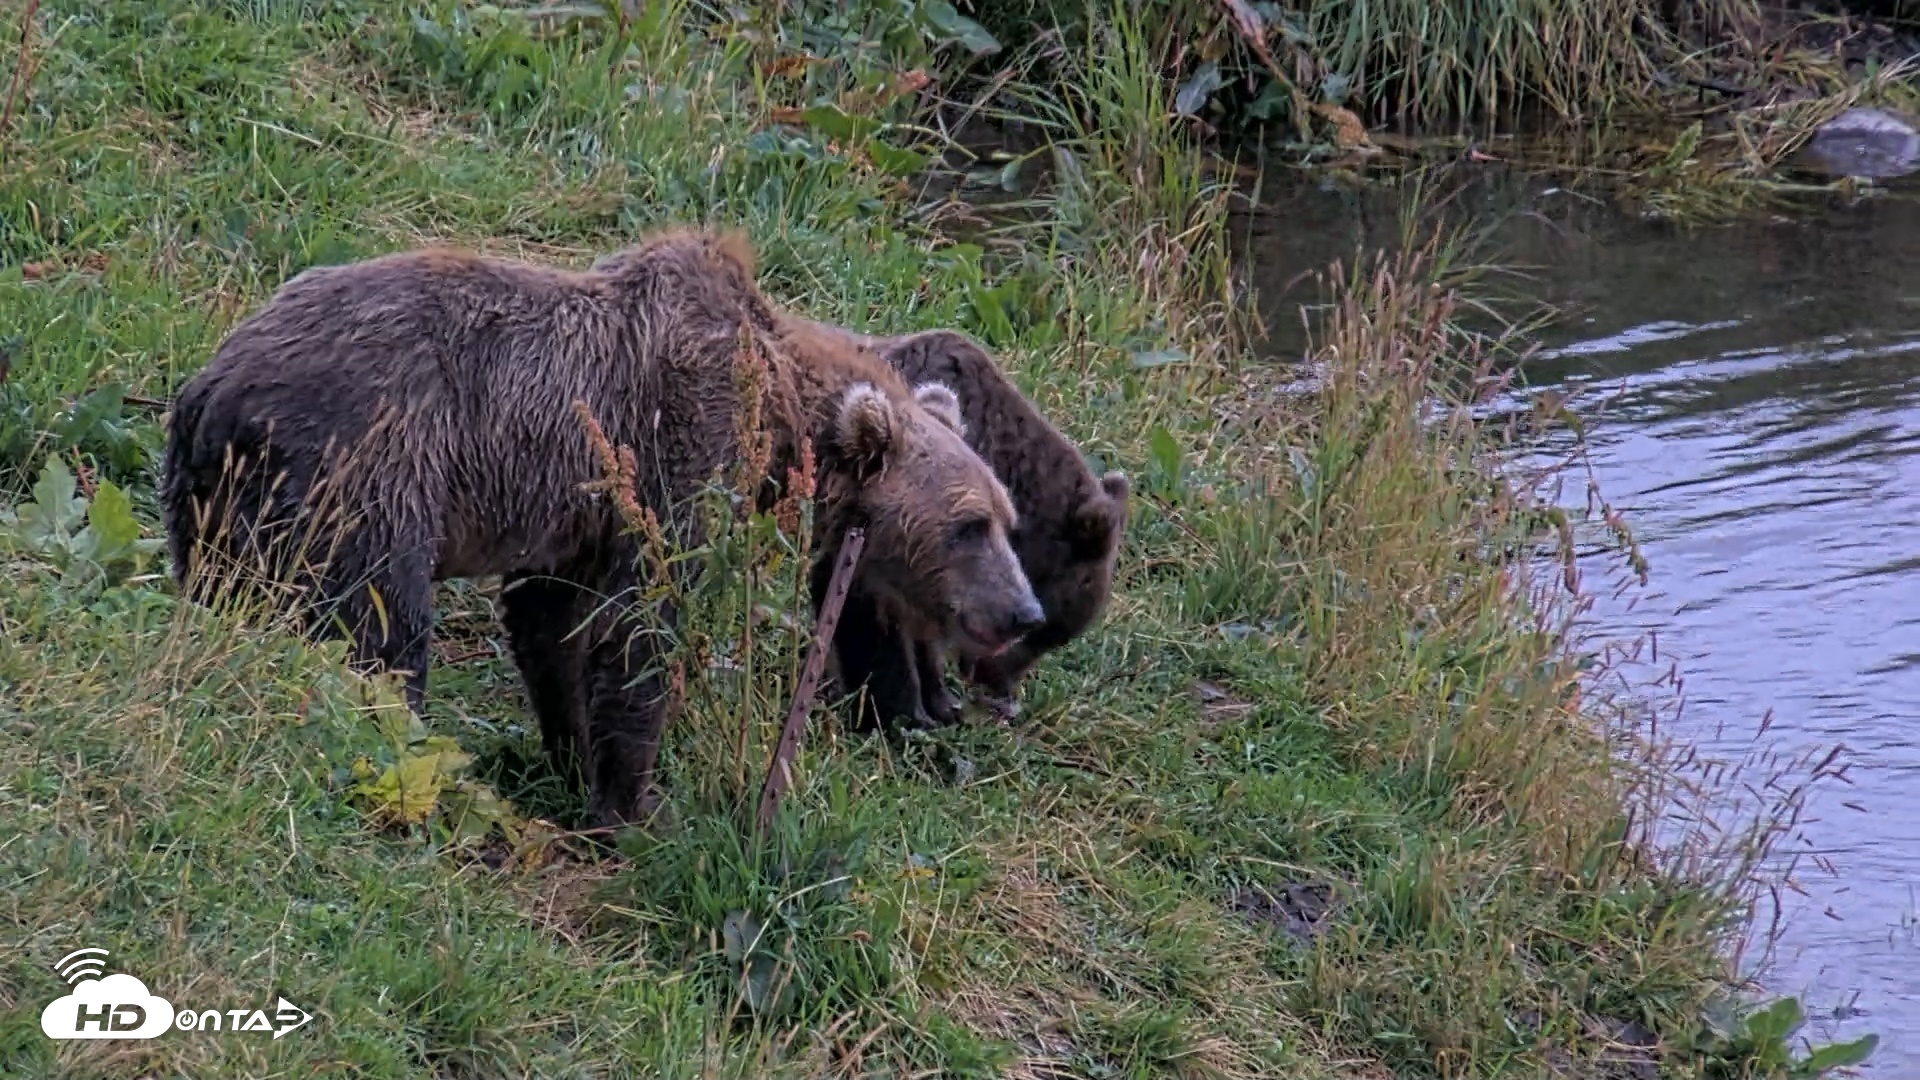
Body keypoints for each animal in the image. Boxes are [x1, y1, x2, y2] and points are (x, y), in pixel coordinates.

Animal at [159, 228, 1046, 828]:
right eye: (970, 525)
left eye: (1009, 518)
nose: (1024, 611)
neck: (782, 412)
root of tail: (212, 386)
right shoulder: (677, 446)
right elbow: (643, 623)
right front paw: (635, 802)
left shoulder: (579, 515)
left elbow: (553, 621)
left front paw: (570, 755)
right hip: (365, 464)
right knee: (382, 625)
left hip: (218, 510)